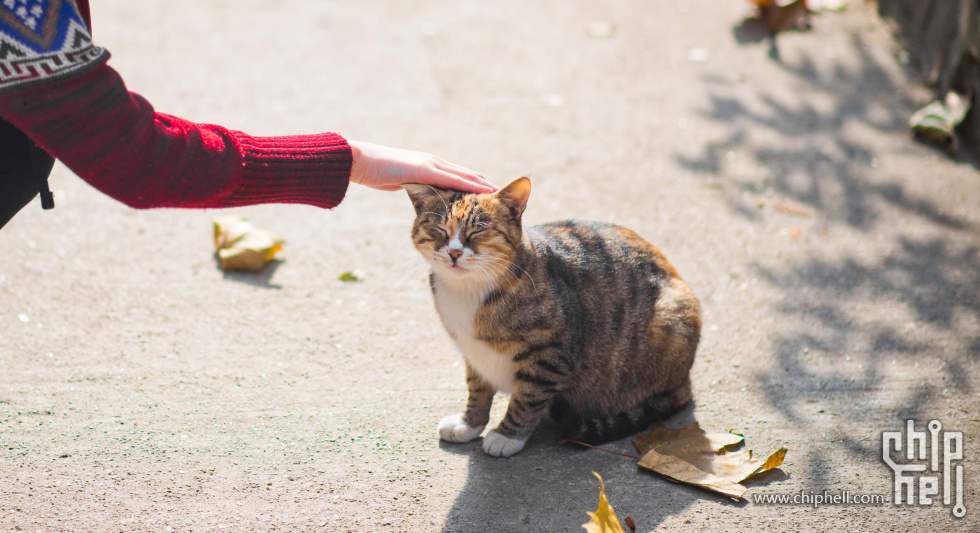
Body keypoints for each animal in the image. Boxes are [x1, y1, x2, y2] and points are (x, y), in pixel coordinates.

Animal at [408, 179, 704, 458]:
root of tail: (686, 378)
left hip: (671, 317)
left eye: (477, 230)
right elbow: (478, 388)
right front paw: (469, 424)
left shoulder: (549, 353)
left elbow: (527, 398)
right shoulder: (474, 353)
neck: (468, 290)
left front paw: (507, 435)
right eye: (439, 229)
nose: (454, 252)